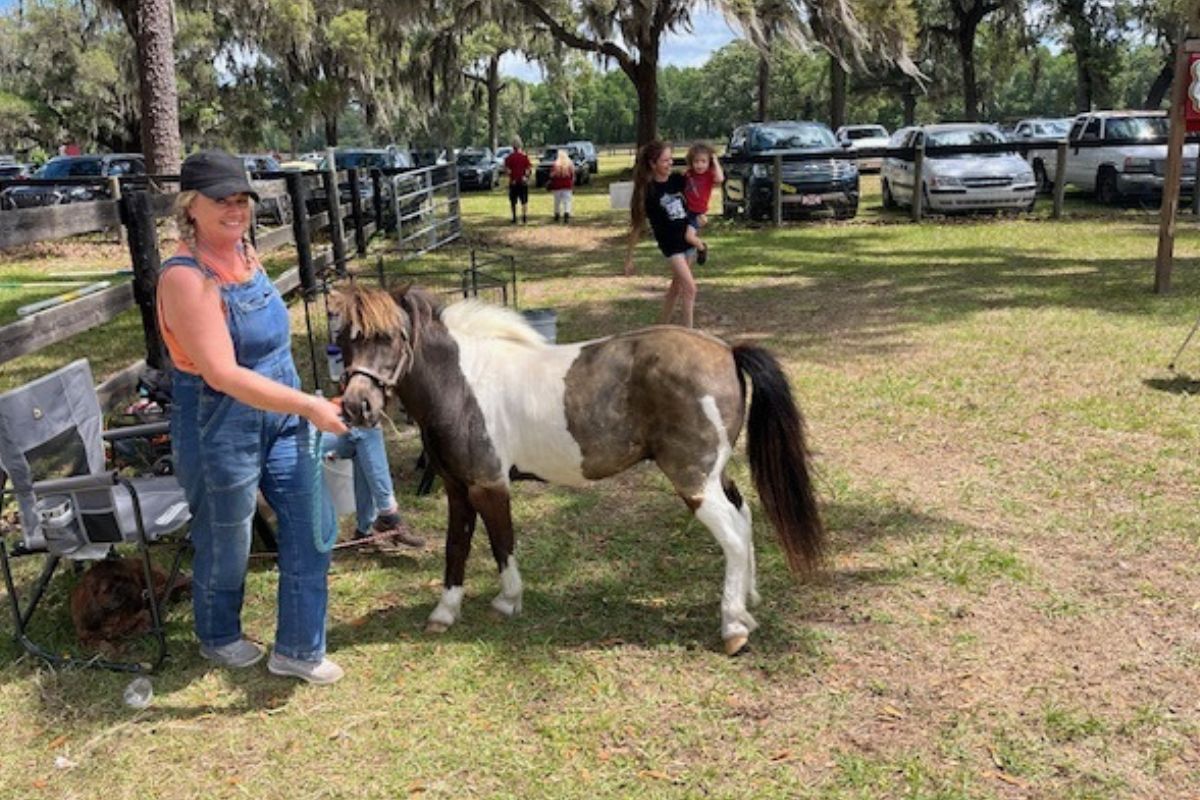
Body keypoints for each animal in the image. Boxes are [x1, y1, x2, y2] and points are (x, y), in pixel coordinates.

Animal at [329, 285, 824, 655]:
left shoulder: (489, 485)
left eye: (392, 336)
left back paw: (733, 627)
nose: (357, 406)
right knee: (744, 517)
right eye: (347, 339)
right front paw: (444, 613)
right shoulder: (457, 487)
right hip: (714, 475)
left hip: (693, 479)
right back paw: (747, 605)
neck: (463, 383)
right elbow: (456, 547)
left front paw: (507, 602)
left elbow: (501, 543)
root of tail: (726, 351)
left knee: (733, 537)